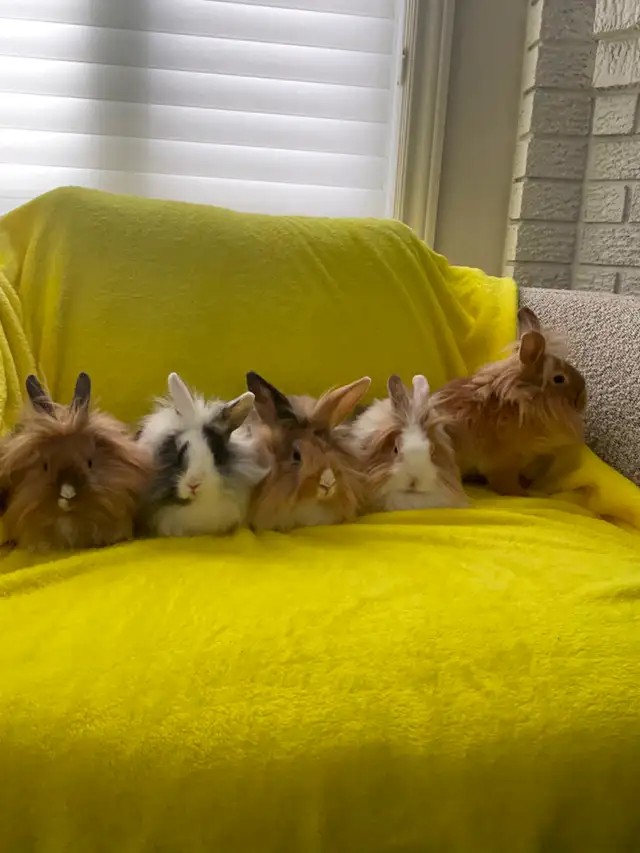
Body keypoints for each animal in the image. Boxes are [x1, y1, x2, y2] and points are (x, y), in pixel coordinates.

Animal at [429, 306, 587, 496]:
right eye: (559, 379)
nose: (582, 399)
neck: (524, 402)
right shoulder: (503, 465)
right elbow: (507, 485)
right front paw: (525, 494)